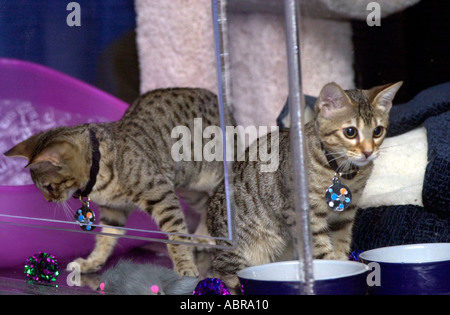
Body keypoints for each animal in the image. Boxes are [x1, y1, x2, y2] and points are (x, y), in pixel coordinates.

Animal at [2, 87, 229, 278]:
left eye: (49, 187)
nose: (49, 201)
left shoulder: (162, 195)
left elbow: (177, 236)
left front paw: (184, 265)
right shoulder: (113, 210)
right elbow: (106, 238)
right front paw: (92, 262)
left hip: (211, 179)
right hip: (190, 190)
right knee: (205, 207)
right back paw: (202, 237)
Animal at [206, 81, 402, 288]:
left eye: (377, 131)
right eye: (350, 132)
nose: (368, 152)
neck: (341, 172)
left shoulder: (345, 216)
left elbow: (341, 244)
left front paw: (344, 264)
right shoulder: (304, 215)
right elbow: (321, 249)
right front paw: (334, 270)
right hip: (238, 251)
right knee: (226, 274)